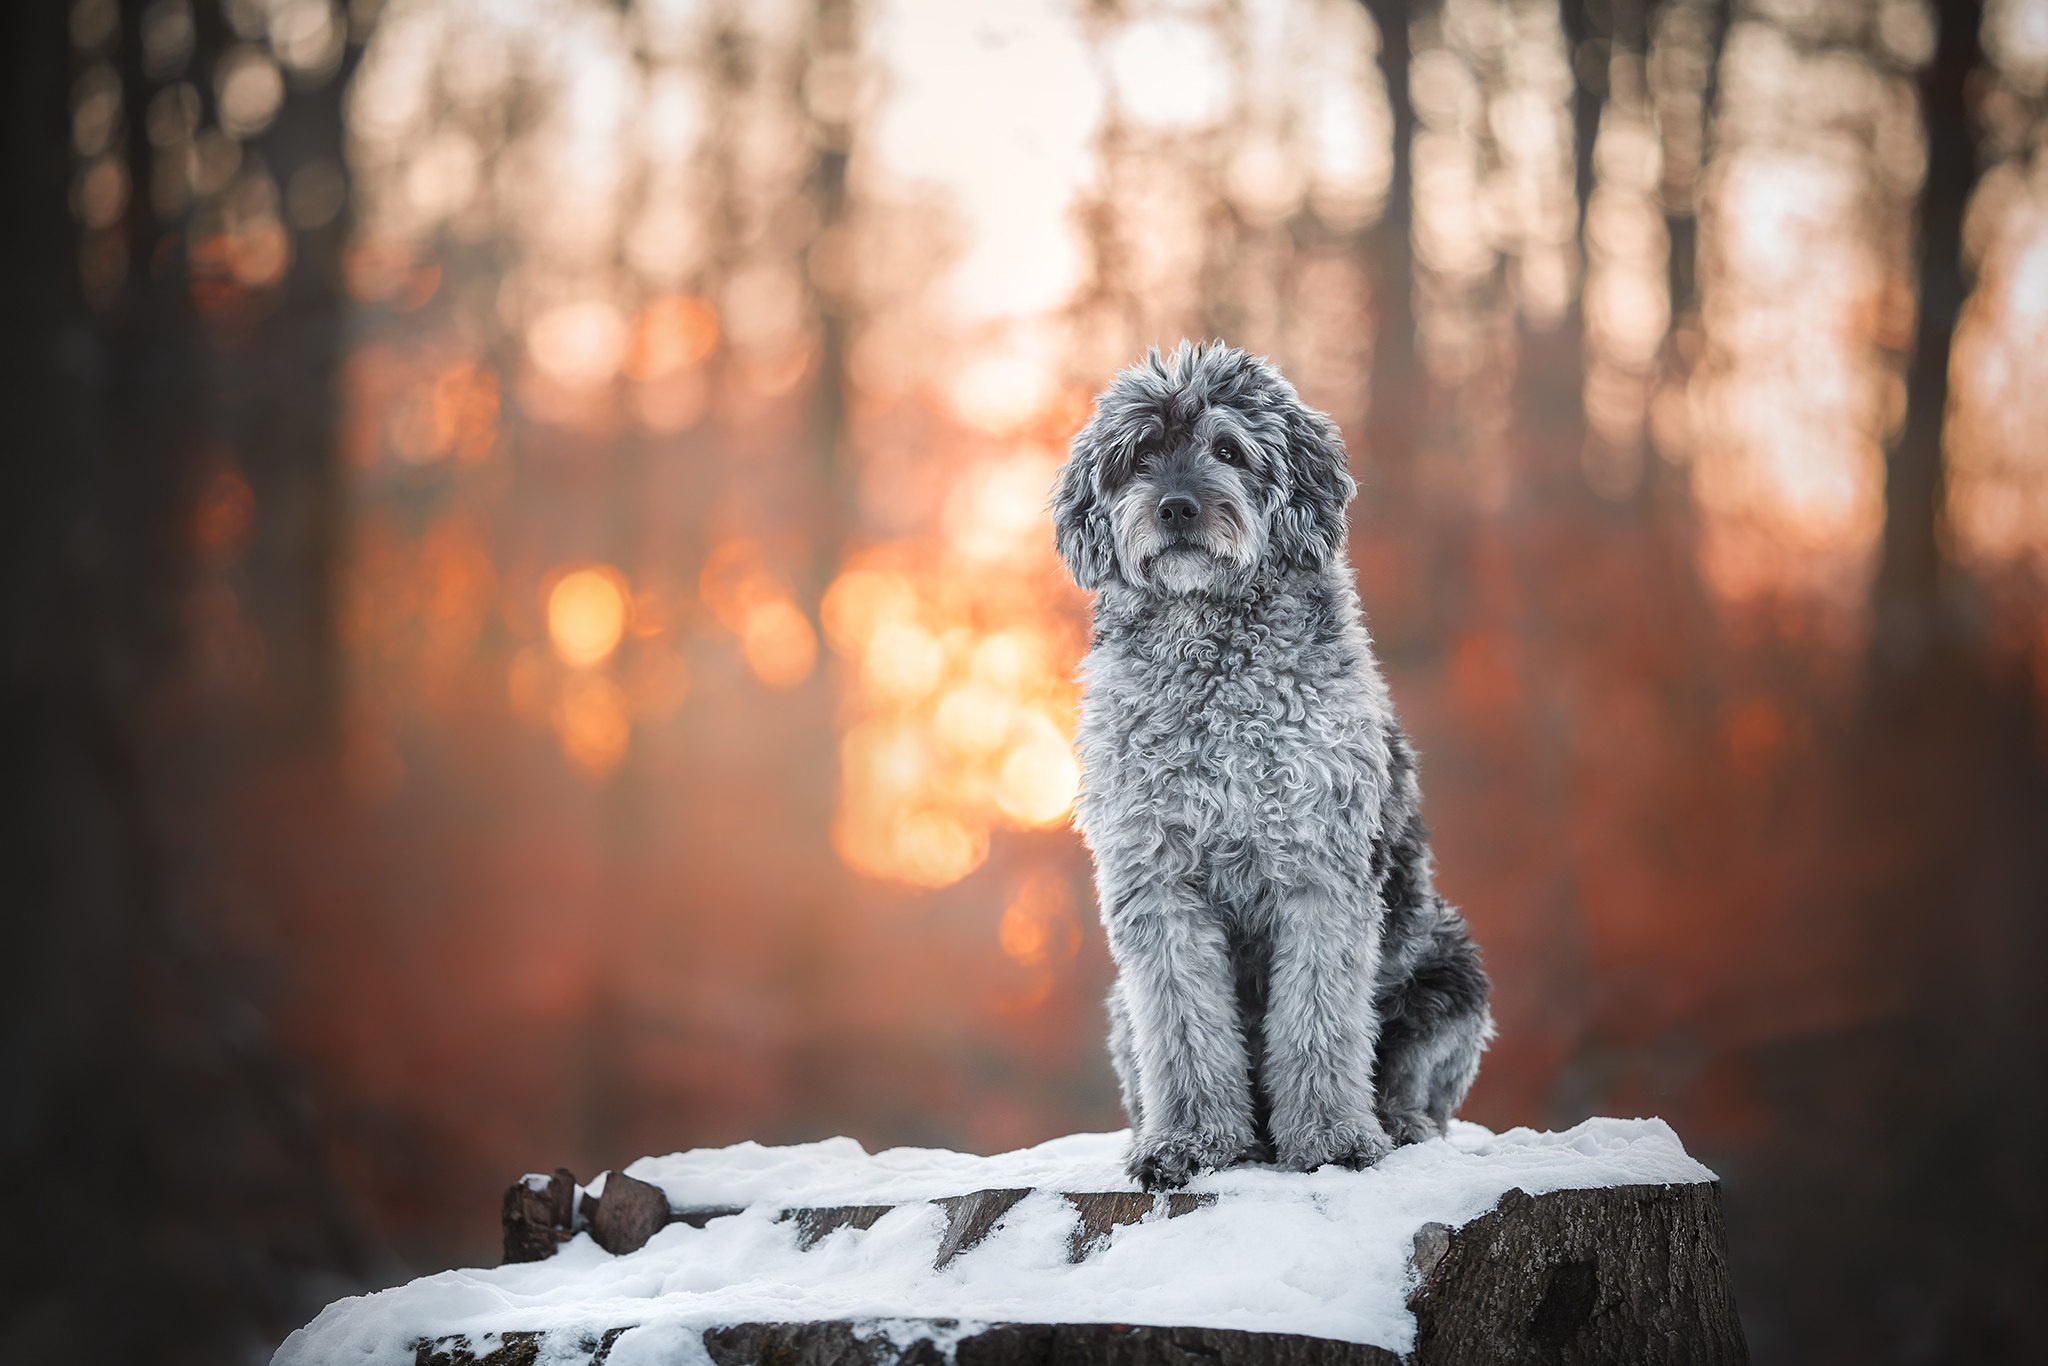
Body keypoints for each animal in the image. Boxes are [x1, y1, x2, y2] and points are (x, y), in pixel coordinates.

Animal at [1056, 344, 1490, 1196]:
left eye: (1228, 450)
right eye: (1140, 456)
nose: (1177, 507)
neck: (1214, 664)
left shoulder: (1322, 872)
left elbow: (1320, 1022)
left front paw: (1329, 1137)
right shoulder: (1158, 883)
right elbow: (1186, 1028)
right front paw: (1190, 1141)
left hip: (1451, 970)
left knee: (1411, 1083)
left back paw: (1392, 1124)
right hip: (1120, 1008)